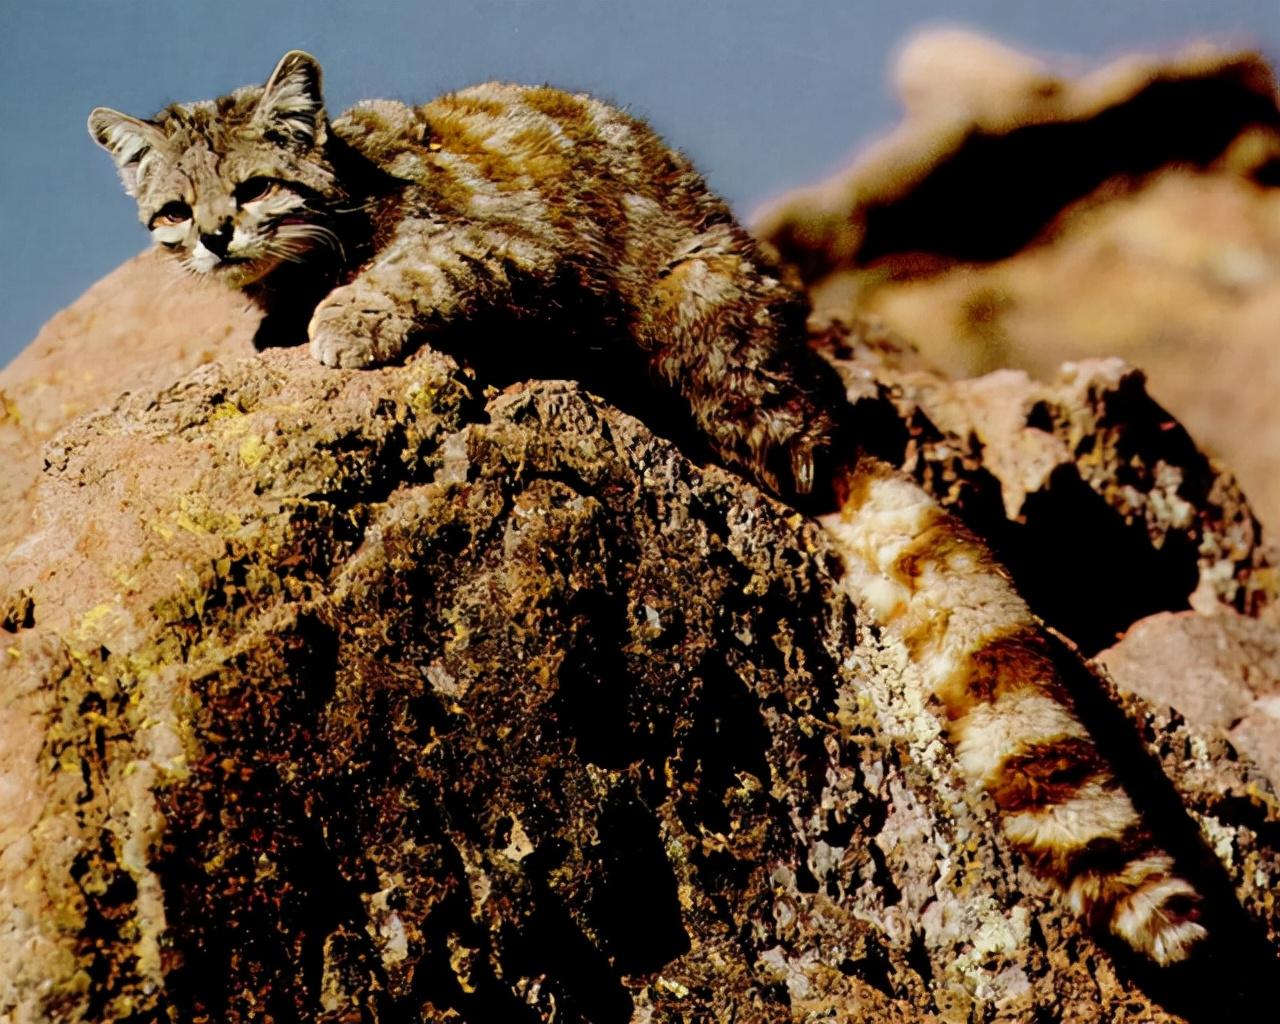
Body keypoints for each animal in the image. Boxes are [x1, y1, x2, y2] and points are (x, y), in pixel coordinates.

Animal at [90, 51, 1208, 967]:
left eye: (251, 187)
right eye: (176, 209)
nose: (218, 237)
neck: (348, 189)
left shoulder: (513, 252)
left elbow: (419, 269)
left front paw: (345, 316)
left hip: (699, 320)